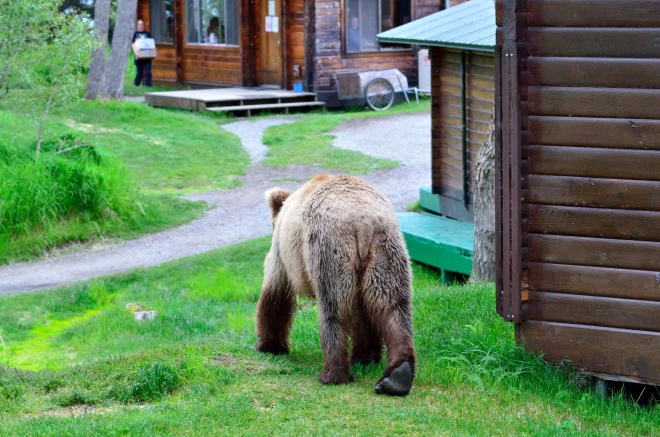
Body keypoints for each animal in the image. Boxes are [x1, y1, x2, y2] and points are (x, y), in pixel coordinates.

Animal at [255, 173, 416, 396]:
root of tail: (363, 222)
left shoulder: (282, 254)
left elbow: (275, 295)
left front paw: (270, 346)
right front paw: (366, 355)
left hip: (328, 250)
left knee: (333, 310)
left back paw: (333, 375)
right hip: (386, 251)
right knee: (392, 305)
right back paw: (396, 375)